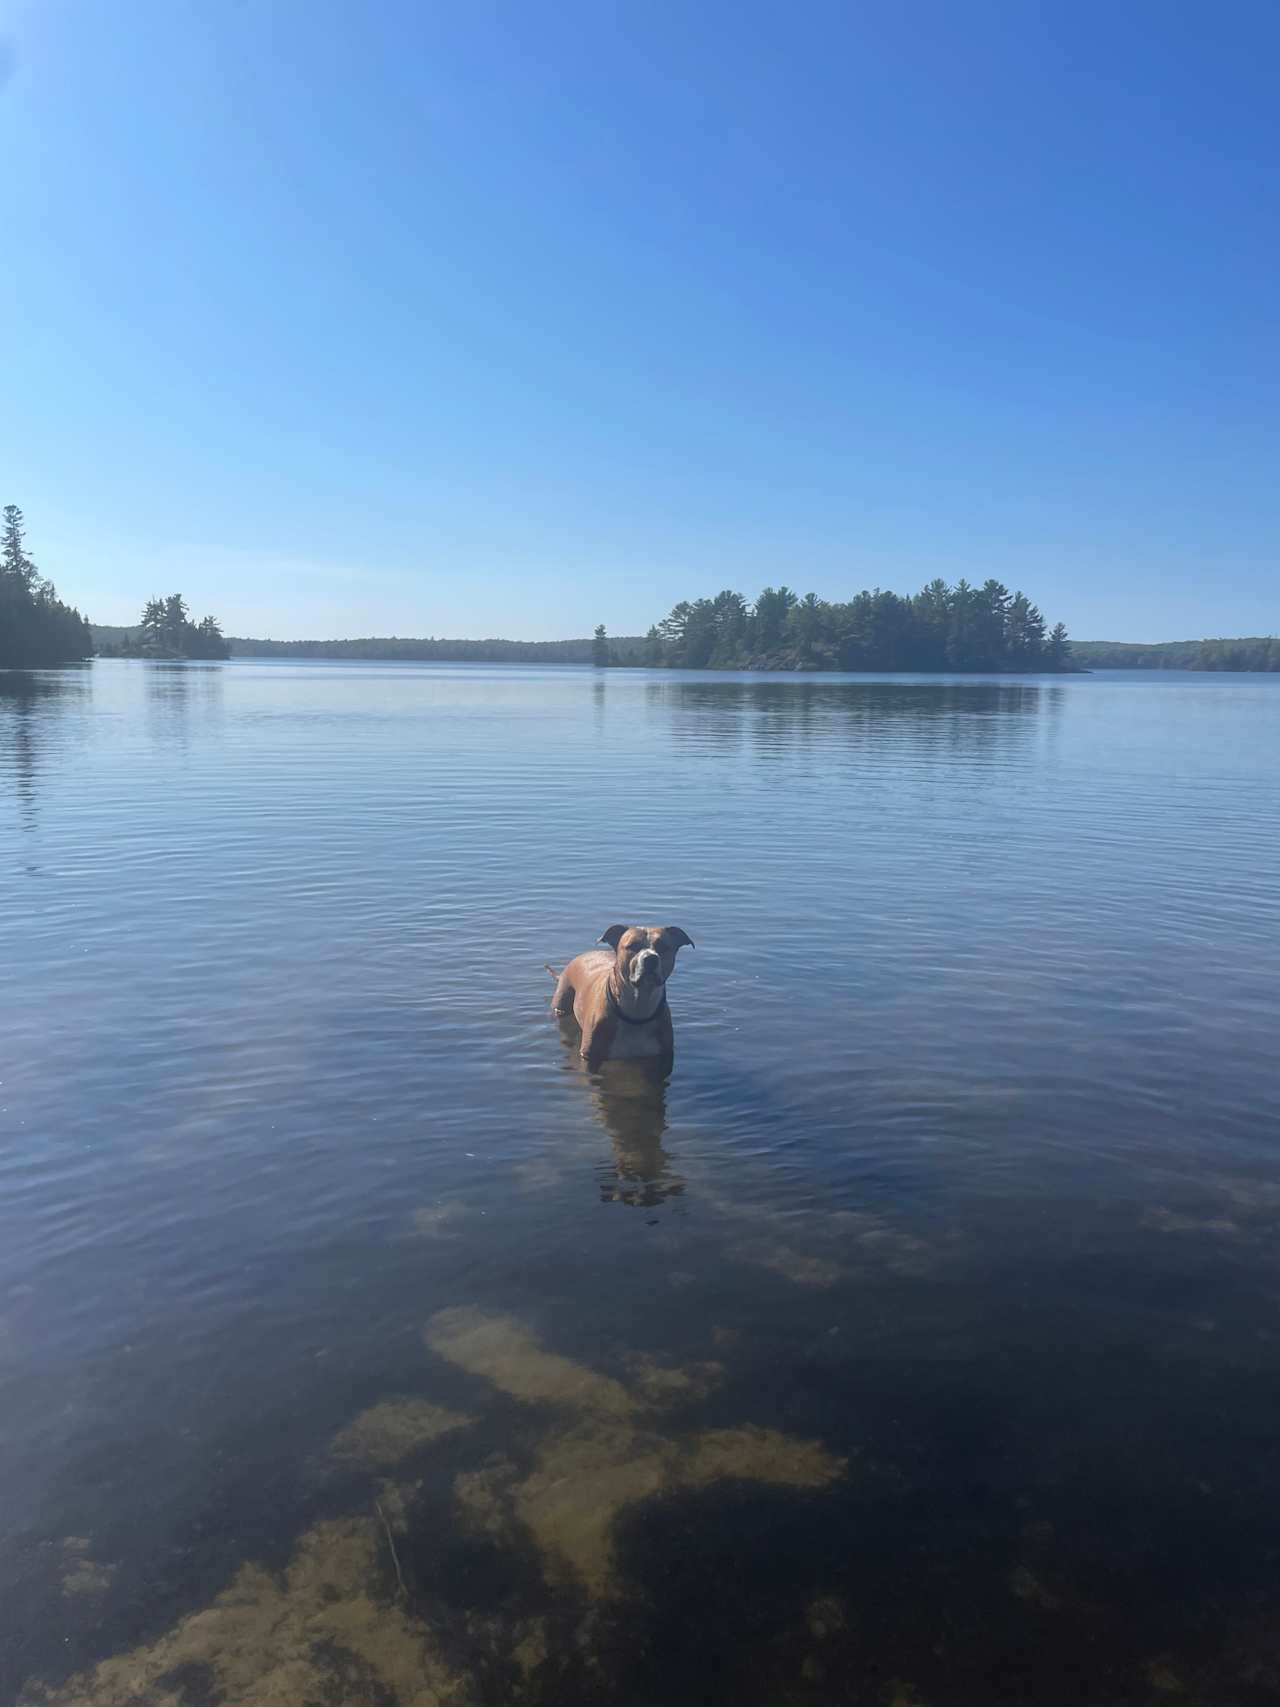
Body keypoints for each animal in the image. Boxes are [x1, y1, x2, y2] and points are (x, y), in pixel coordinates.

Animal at [546, 928, 696, 1071]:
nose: (651, 958)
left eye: (663, 946)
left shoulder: (662, 1056)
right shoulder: (590, 1057)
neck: (637, 1011)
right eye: (632, 946)